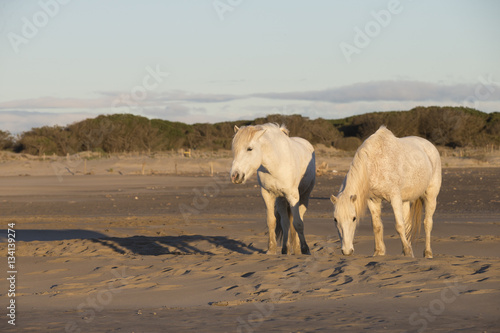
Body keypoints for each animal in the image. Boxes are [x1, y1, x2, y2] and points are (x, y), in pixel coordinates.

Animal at [229, 122, 314, 254]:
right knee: (285, 223)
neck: (276, 164)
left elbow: (298, 223)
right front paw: (271, 250)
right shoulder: (267, 194)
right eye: (234, 149)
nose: (235, 176)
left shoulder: (293, 196)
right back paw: (285, 250)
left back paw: (297, 249)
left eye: (249, 148)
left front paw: (305, 249)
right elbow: (271, 221)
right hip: (281, 200)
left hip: (304, 196)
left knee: (297, 219)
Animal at [332, 126, 442, 258]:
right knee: (408, 225)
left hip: (431, 195)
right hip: (405, 201)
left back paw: (427, 253)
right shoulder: (373, 200)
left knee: (427, 223)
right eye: (335, 219)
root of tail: (430, 146)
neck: (374, 164)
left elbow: (399, 225)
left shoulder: (394, 197)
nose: (347, 251)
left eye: (354, 218)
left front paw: (407, 250)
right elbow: (377, 226)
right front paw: (379, 252)